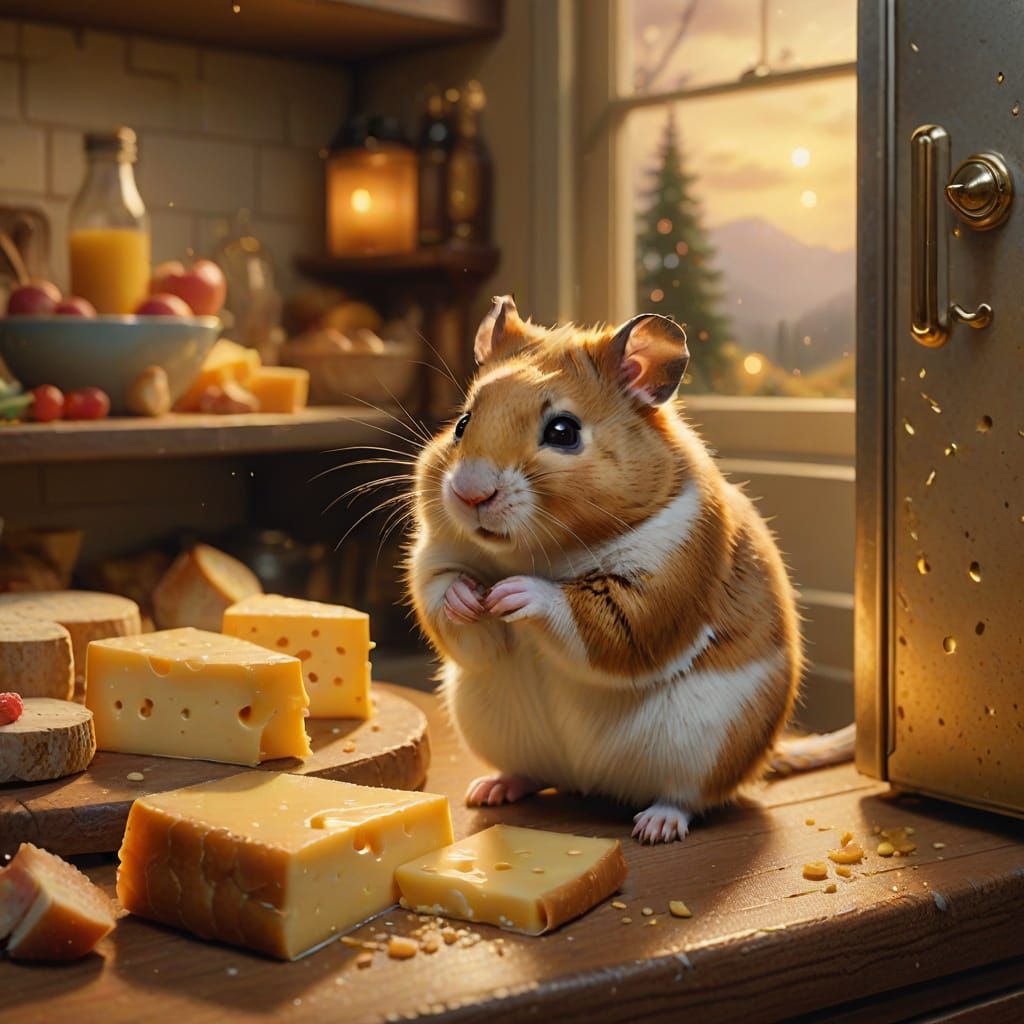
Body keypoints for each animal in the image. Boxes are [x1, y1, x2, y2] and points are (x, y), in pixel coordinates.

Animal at [408, 296, 845, 844]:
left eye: (563, 431)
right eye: (463, 423)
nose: (469, 493)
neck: (539, 550)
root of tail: (588, 780)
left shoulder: (655, 593)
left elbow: (583, 613)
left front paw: (513, 593)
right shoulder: (433, 556)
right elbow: (447, 602)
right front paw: (469, 598)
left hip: (704, 747)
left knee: (688, 798)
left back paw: (655, 826)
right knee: (530, 773)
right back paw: (490, 789)